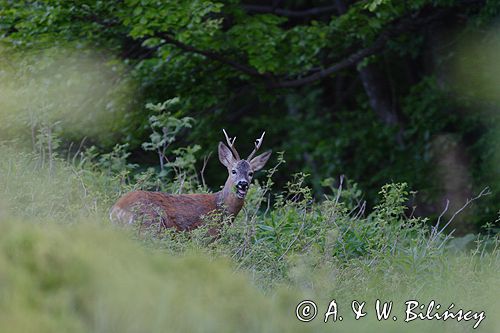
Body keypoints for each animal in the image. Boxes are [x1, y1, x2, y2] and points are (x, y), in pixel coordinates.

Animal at [110, 128, 272, 235]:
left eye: (251, 173)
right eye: (233, 171)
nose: (242, 184)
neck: (220, 207)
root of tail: (117, 209)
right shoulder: (208, 235)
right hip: (147, 227)